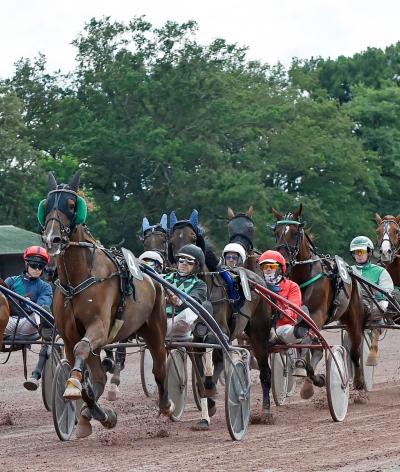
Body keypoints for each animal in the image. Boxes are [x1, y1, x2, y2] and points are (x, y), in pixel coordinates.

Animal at [40, 172, 173, 438]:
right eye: (47, 205)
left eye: (72, 205)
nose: (52, 238)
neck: (77, 279)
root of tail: (152, 273)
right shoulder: (68, 337)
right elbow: (85, 374)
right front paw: (97, 413)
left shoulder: (99, 328)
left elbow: (83, 350)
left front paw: (74, 388)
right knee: (101, 376)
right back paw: (89, 415)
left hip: (156, 329)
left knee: (160, 366)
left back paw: (166, 405)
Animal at [270, 205, 368, 396]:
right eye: (276, 232)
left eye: (295, 233)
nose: (283, 262)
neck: (303, 277)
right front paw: (311, 376)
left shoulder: (317, 314)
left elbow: (307, 339)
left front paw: (302, 366)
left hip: (354, 315)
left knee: (354, 349)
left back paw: (359, 383)